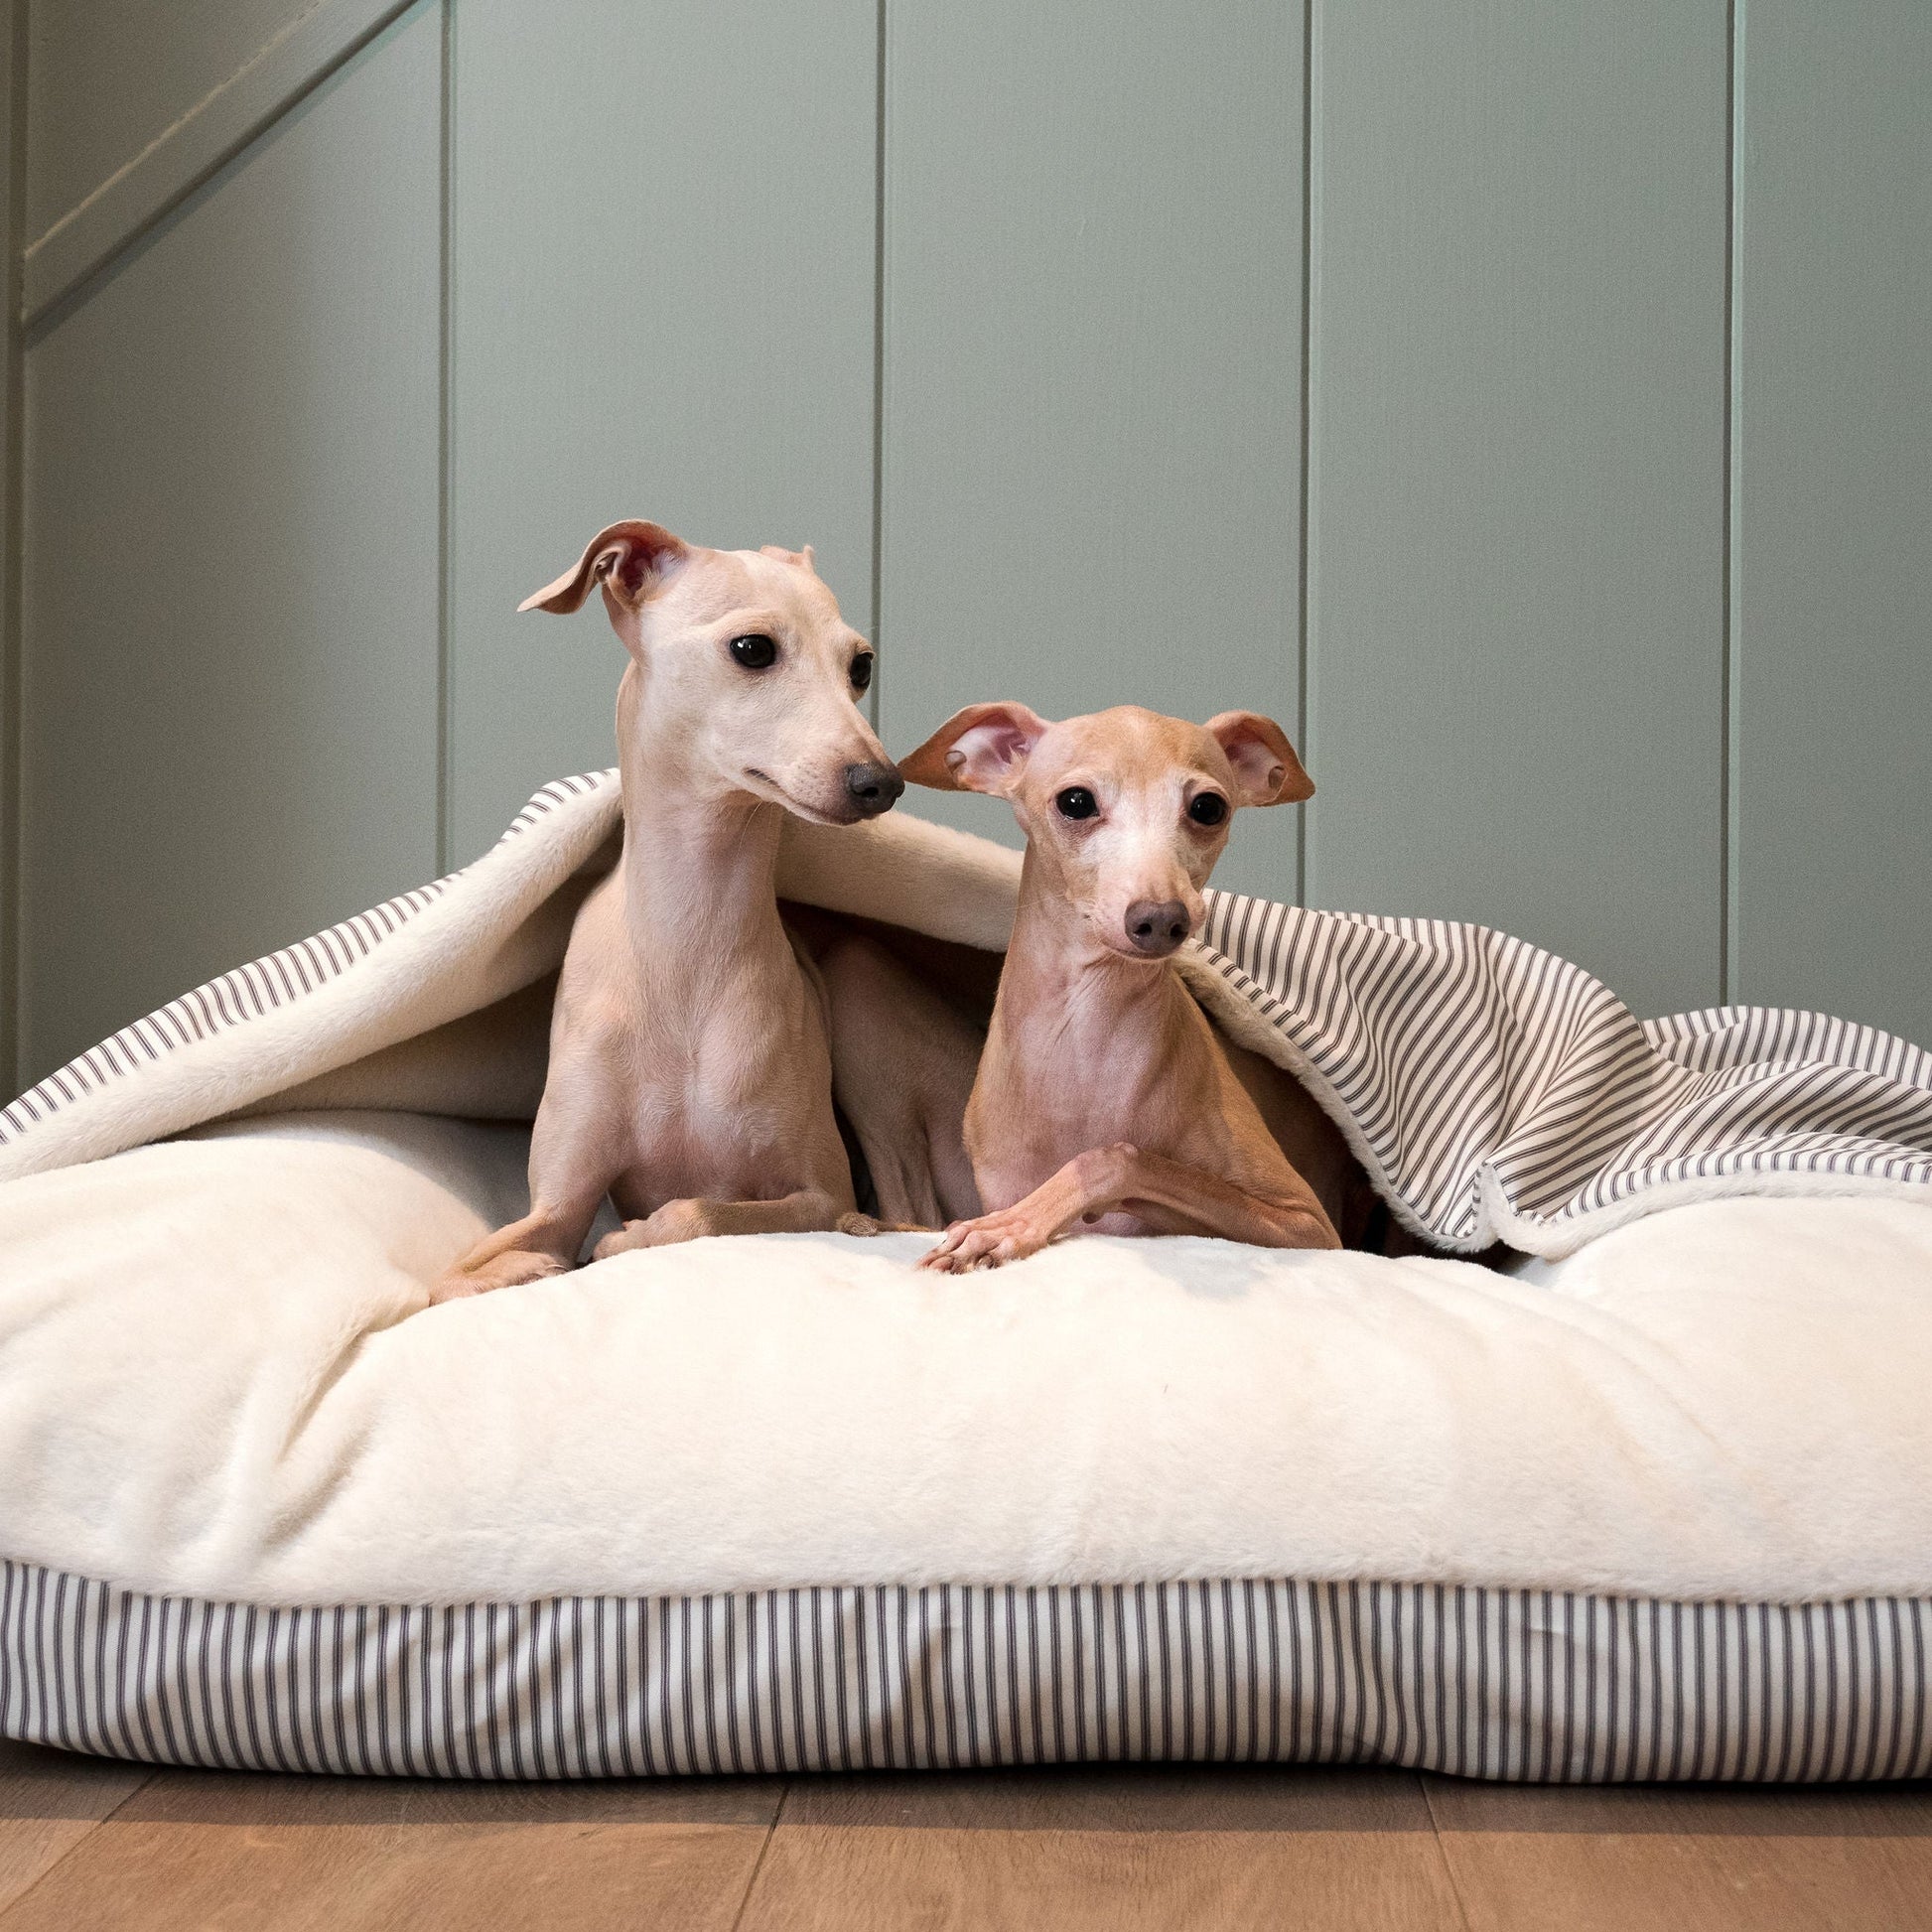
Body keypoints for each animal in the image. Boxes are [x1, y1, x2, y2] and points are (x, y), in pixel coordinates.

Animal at [899, 703, 1344, 1275]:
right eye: (1075, 801)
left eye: (1208, 807)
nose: (1161, 919)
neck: (1086, 1042)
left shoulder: (1309, 1223)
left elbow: (1120, 1157)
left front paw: (1008, 1227)